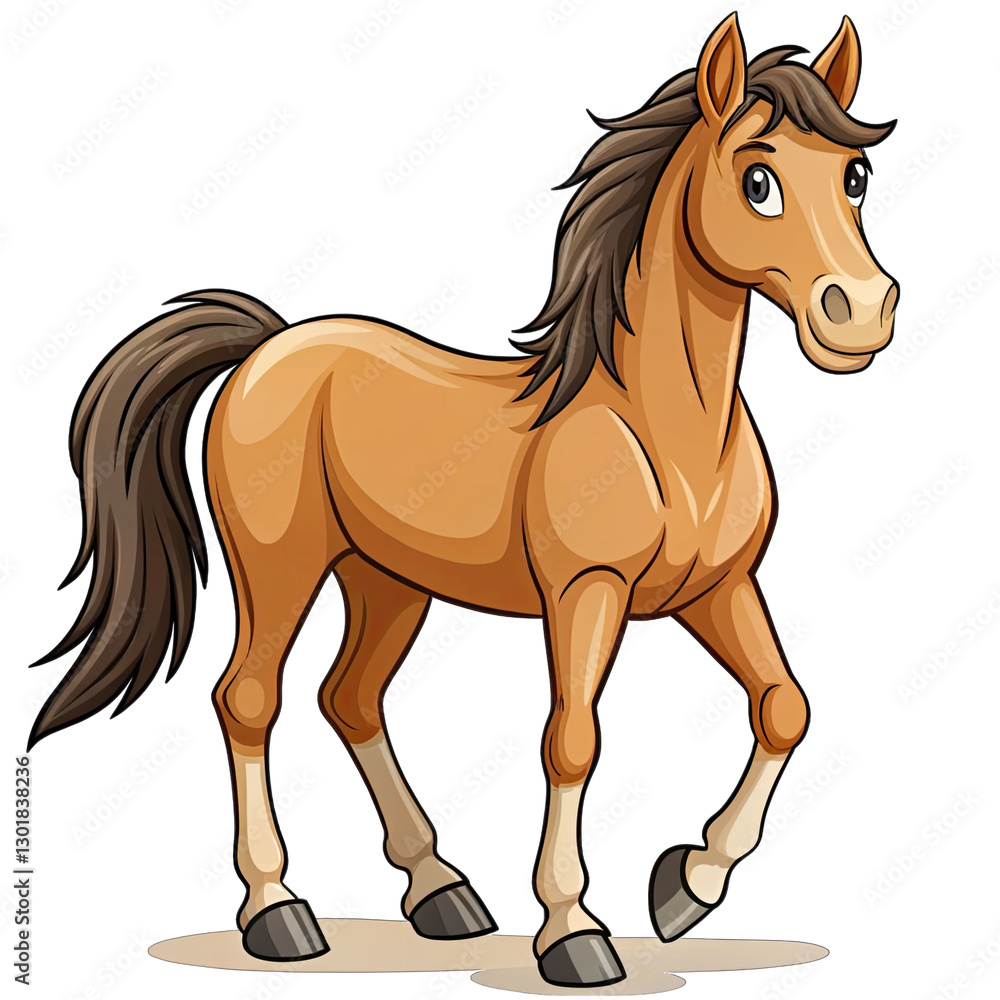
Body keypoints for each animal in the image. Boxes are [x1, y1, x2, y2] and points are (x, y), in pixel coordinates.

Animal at [28, 13, 897, 988]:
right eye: (757, 179)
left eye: (855, 176)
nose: (862, 312)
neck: (661, 430)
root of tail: (269, 346)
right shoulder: (586, 593)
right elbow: (573, 738)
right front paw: (573, 932)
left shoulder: (719, 589)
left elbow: (784, 707)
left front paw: (686, 886)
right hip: (281, 568)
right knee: (249, 698)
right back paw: (279, 912)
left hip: (387, 581)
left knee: (351, 698)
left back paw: (441, 892)